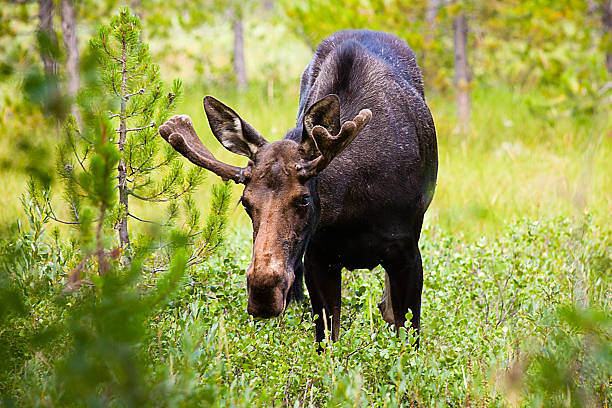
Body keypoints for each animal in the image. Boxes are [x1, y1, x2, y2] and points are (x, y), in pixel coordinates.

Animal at [158, 30, 436, 346]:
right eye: (245, 202)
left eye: (303, 199)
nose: (263, 292)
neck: (351, 207)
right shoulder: (318, 255)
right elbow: (326, 340)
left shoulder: (407, 252)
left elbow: (408, 338)